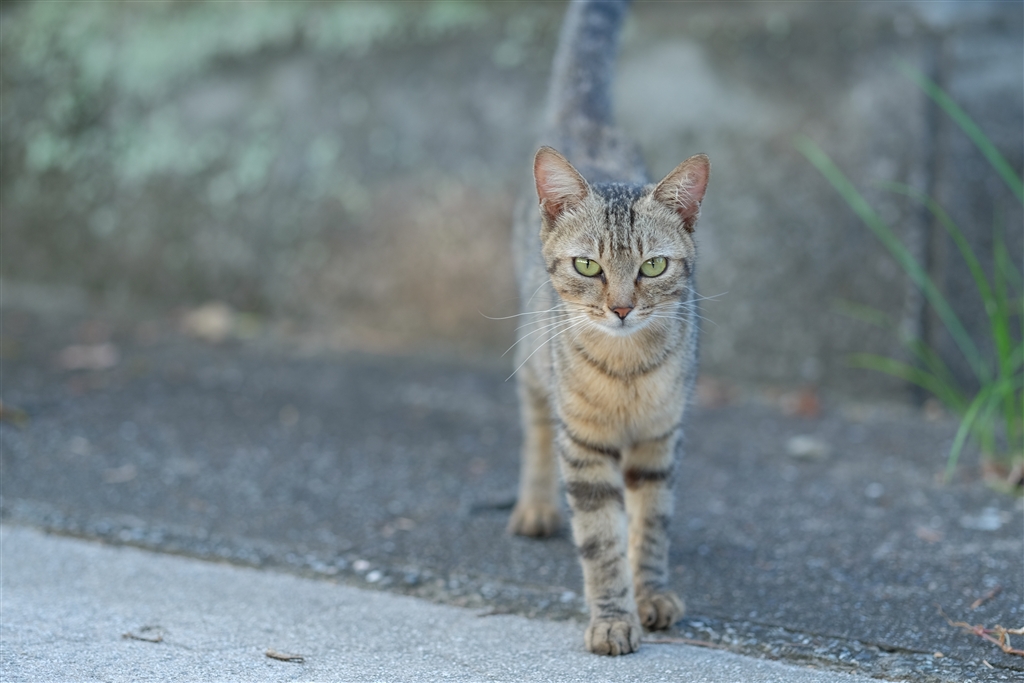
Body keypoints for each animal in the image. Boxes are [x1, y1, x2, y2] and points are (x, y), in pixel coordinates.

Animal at [507, 0, 710, 656]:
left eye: (653, 267)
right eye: (588, 266)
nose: (621, 308)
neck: (625, 372)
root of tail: (587, 124)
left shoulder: (659, 440)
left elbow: (651, 525)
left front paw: (650, 594)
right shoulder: (585, 445)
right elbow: (598, 540)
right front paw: (613, 617)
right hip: (532, 358)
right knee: (535, 427)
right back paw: (536, 506)